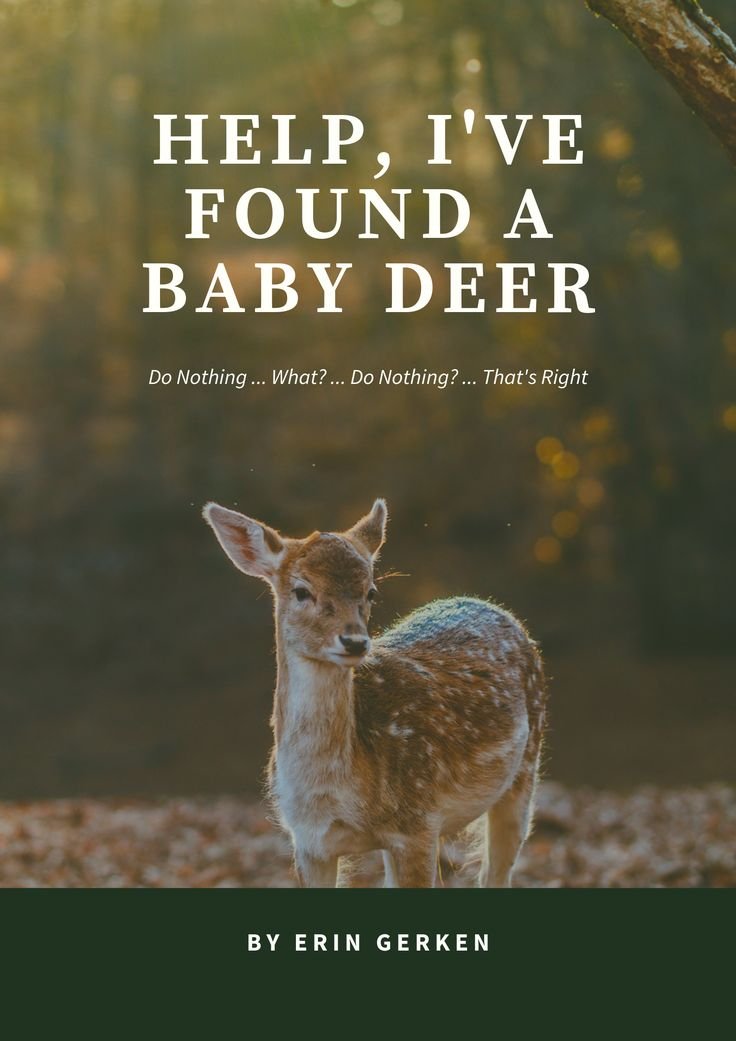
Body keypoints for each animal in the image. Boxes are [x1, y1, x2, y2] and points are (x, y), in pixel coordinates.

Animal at [203, 498, 547, 888]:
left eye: (370, 591)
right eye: (301, 590)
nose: (354, 641)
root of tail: (489, 605)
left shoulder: (417, 822)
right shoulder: (308, 842)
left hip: (525, 768)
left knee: (495, 870)